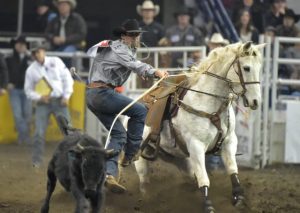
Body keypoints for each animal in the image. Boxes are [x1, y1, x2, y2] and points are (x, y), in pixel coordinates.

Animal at [134, 41, 264, 211]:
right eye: (247, 67)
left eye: (259, 67)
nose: (256, 101)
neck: (208, 102)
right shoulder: (196, 146)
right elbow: (203, 178)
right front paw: (208, 206)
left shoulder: (229, 141)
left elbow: (232, 169)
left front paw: (239, 197)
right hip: (140, 158)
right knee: (144, 182)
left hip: (179, 159)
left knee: (188, 175)